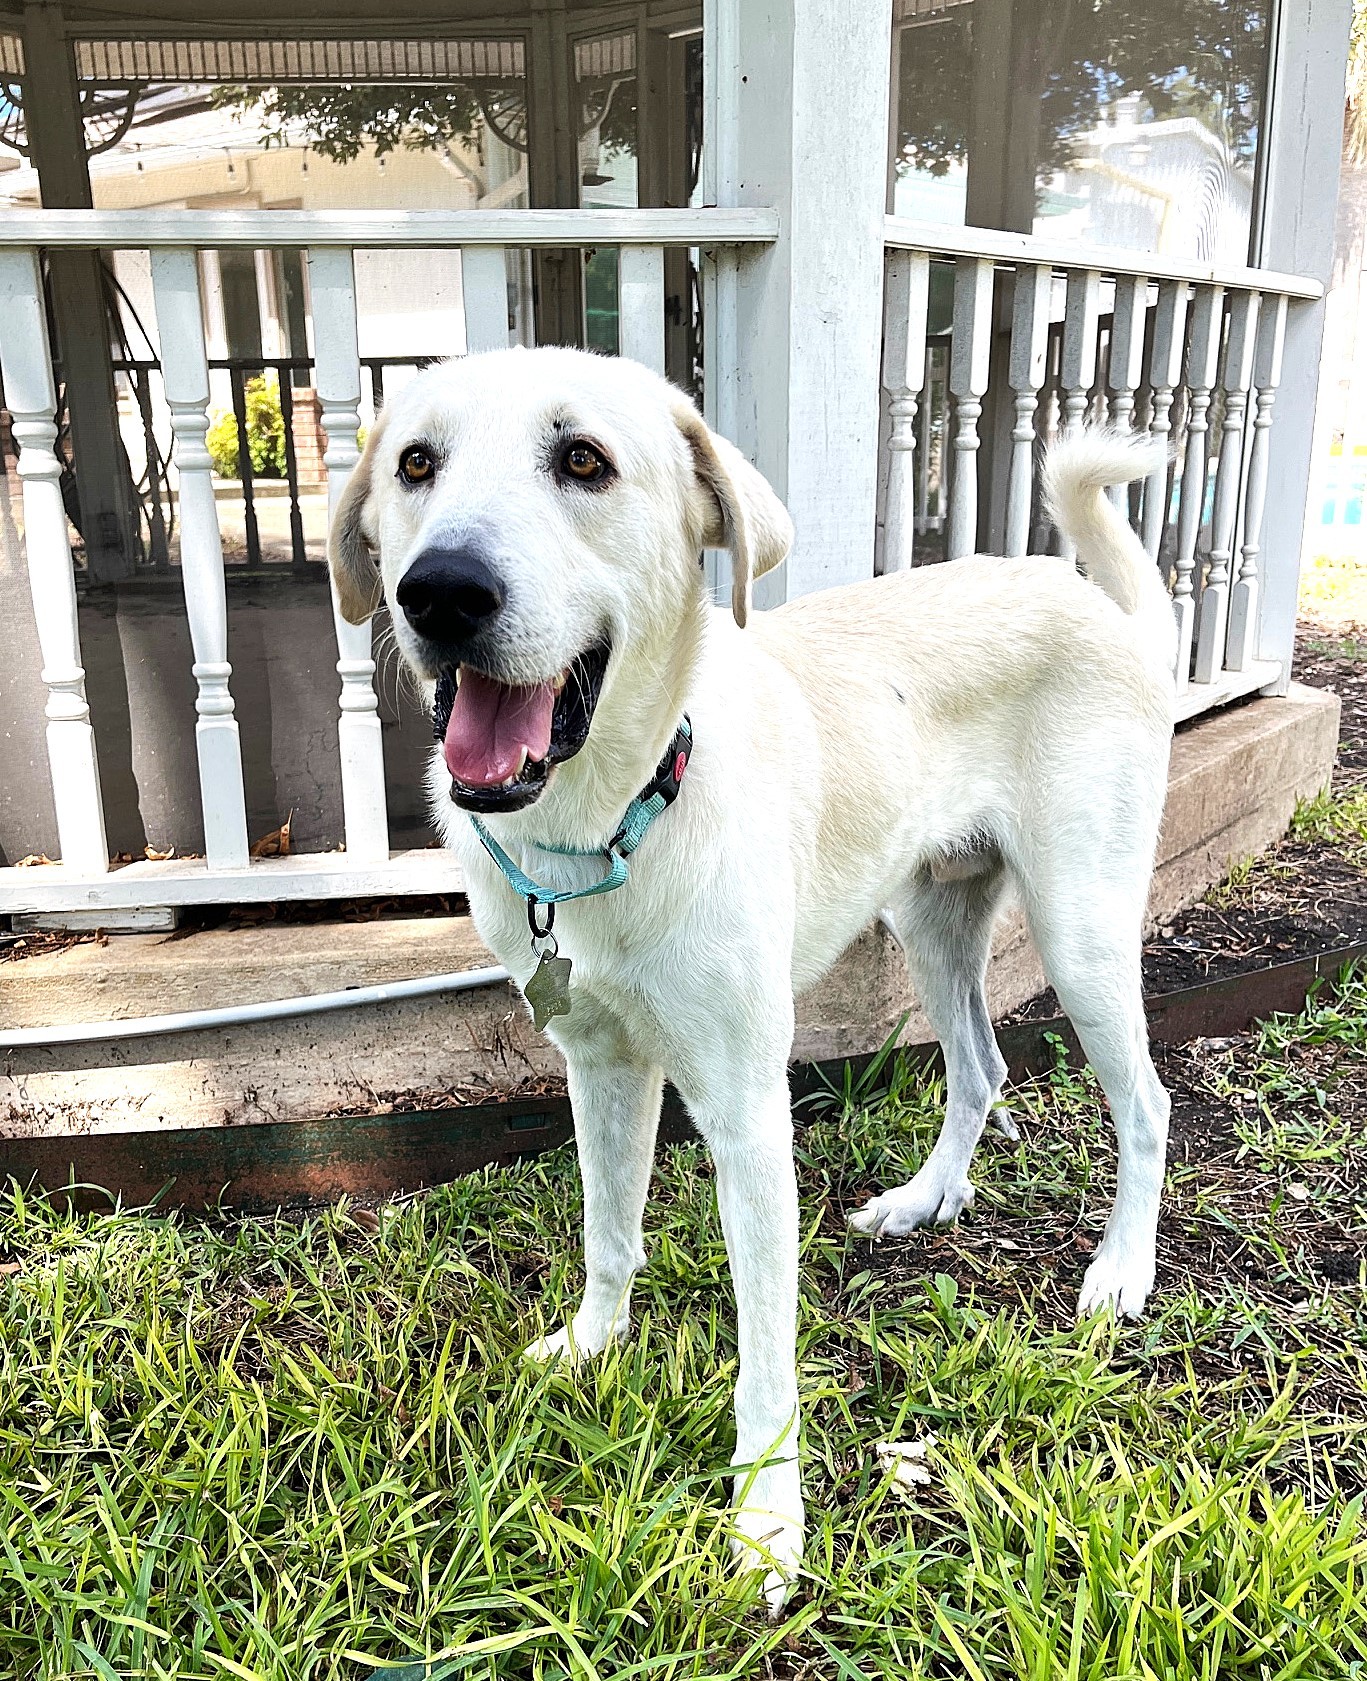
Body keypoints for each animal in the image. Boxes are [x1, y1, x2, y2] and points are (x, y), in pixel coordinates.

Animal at [327, 347, 1170, 1607]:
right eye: (416, 464)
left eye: (583, 461)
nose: (440, 593)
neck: (606, 824)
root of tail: (1094, 604)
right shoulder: (598, 1063)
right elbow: (607, 1229)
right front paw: (592, 1344)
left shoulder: (743, 1109)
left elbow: (765, 1347)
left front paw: (767, 1521)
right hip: (929, 919)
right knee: (978, 1067)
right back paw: (926, 1198)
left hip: (1079, 931)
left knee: (1145, 1103)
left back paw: (1120, 1269)